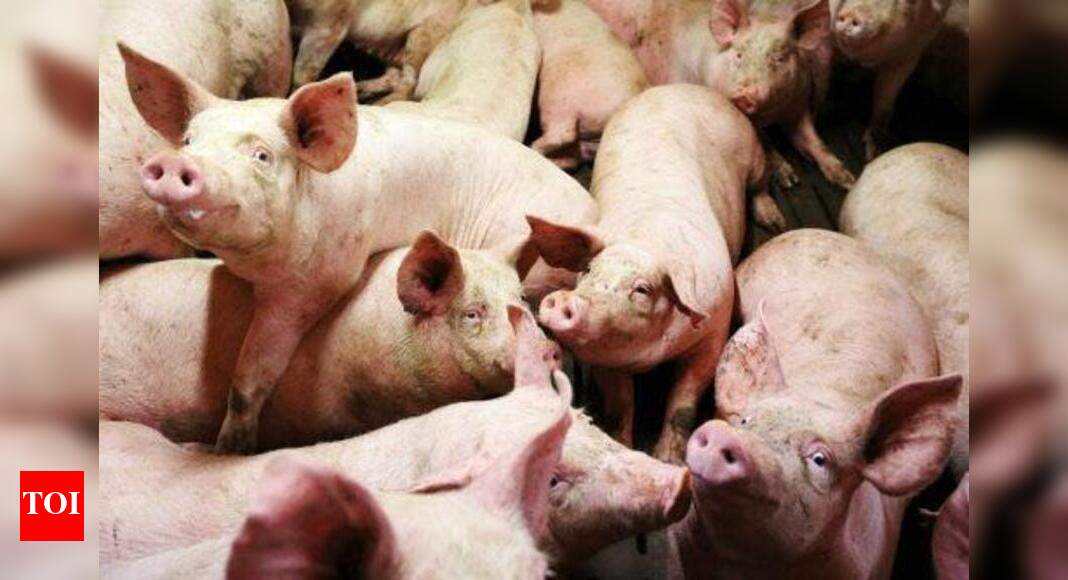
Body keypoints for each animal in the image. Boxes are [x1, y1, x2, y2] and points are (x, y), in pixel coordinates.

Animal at [530, 84, 769, 464]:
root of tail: (675, 87)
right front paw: (624, 444)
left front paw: (668, 460)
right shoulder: (607, 359)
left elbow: (683, 404)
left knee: (761, 182)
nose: (566, 301)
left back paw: (773, 215)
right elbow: (620, 404)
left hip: (752, 151)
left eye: (642, 289)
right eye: (588, 269)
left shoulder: (714, 331)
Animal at [584, 0, 855, 189]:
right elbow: (764, 142)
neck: (771, 116)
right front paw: (788, 179)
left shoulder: (798, 105)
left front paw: (846, 179)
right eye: (739, 54)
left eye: (778, 58)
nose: (746, 95)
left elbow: (814, 141)